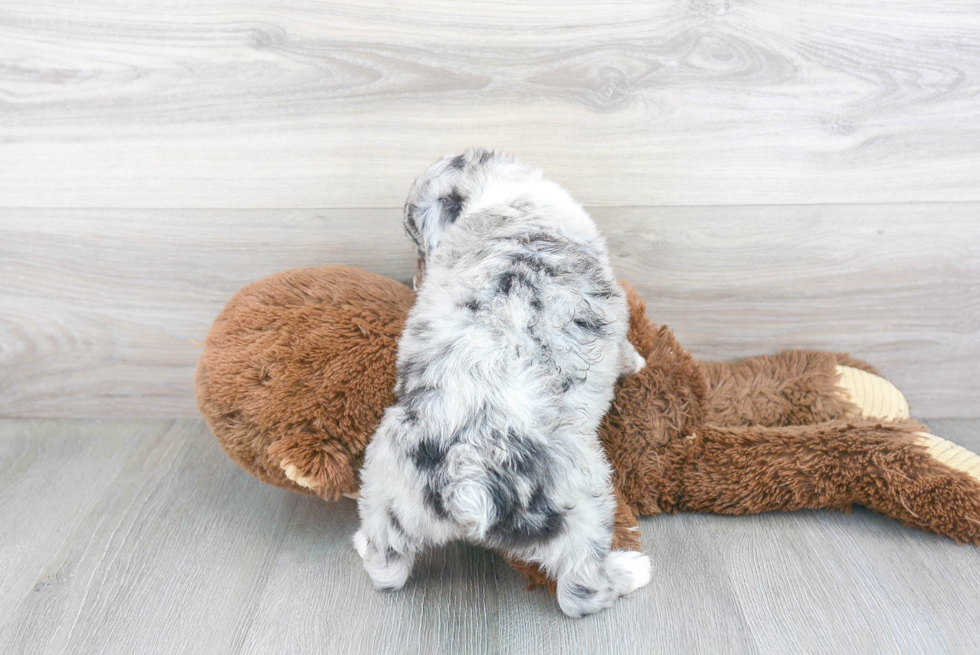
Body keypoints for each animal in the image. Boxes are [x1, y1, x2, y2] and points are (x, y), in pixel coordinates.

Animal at [354, 150, 652, 620]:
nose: (418, 281)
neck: (495, 194)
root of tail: (467, 477)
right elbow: (625, 348)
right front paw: (638, 362)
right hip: (583, 502)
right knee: (580, 592)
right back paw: (631, 571)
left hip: (386, 490)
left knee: (386, 567)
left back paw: (363, 546)